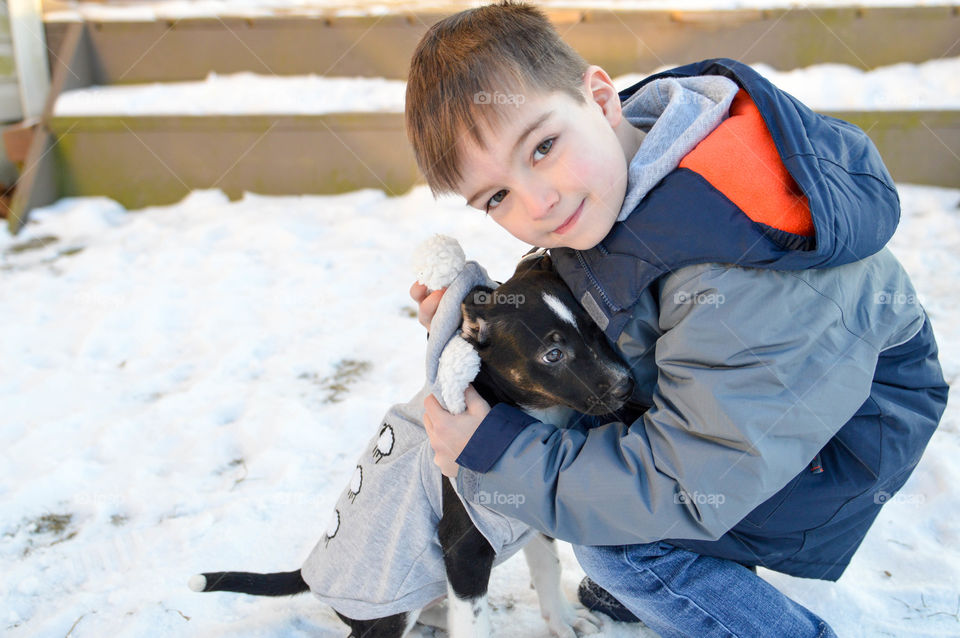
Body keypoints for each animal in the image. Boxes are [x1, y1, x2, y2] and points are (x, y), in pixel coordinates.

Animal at [188, 256, 636, 638]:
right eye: (553, 354)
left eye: (596, 330)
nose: (625, 385)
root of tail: (309, 573)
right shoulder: (464, 550)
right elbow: (475, 624)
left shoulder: (532, 509)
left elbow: (547, 566)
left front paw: (562, 621)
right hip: (391, 609)